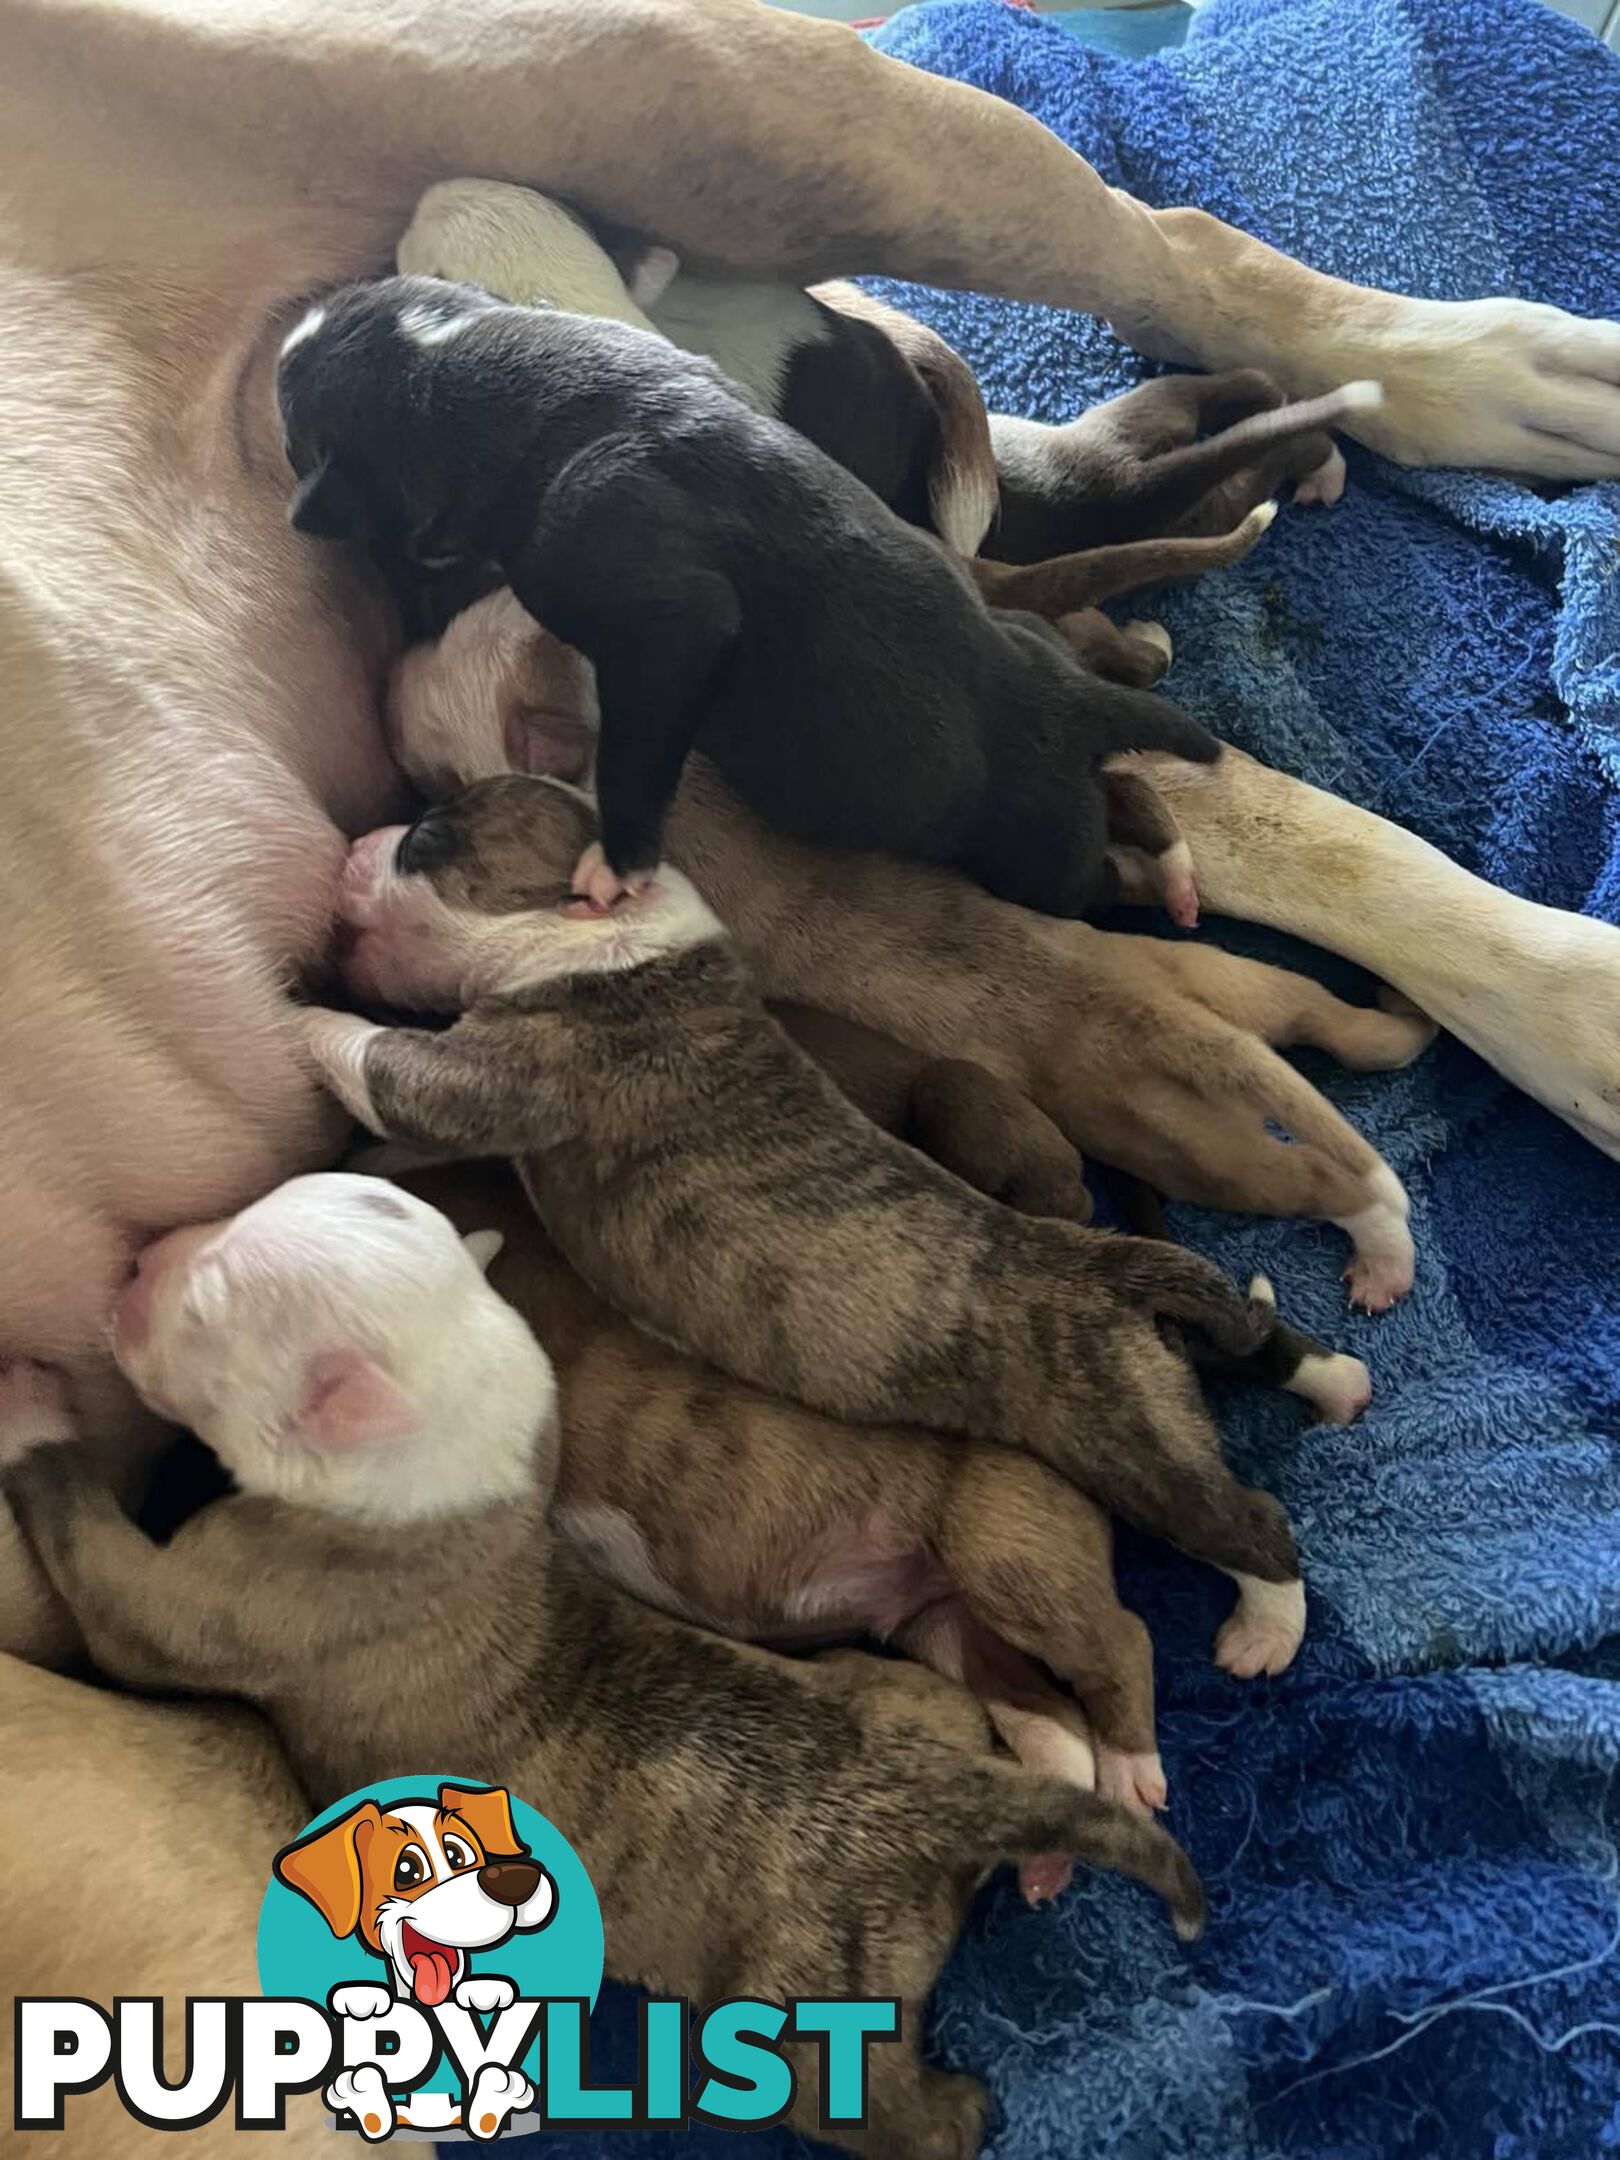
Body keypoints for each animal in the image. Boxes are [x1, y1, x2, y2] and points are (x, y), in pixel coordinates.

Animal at [278, 272, 1218, 911]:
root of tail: (1073, 705)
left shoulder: (657, 606)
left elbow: (640, 738)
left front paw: (618, 863)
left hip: (1036, 854)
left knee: (1095, 880)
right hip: (1032, 648)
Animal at [306, 777, 1304, 1624]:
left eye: (429, 842)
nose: (356, 842)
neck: (617, 937)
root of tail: (1120, 1271)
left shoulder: (498, 1070)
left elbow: (376, 1055)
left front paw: (300, 1015)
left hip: (1129, 1439)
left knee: (1247, 1525)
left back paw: (1264, 1628)